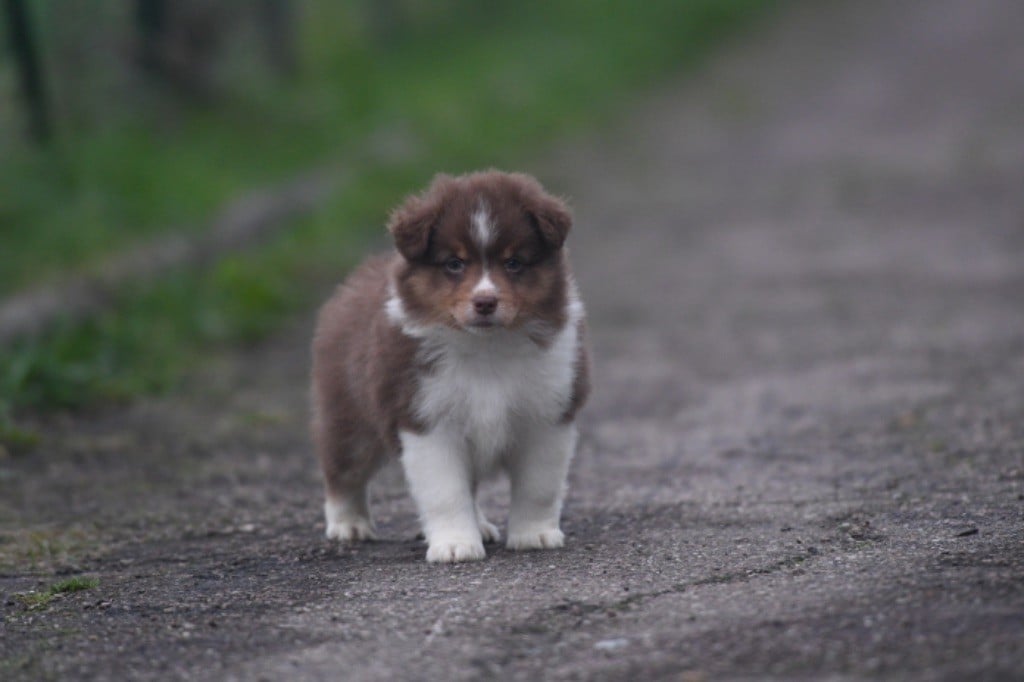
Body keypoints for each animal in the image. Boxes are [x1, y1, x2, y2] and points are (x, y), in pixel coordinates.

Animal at [307, 169, 589, 561]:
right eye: (454, 264)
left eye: (514, 263)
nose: (485, 302)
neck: (485, 347)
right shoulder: (424, 419)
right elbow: (445, 492)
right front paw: (455, 545)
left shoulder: (548, 416)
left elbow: (538, 486)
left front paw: (535, 534)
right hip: (349, 416)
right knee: (342, 471)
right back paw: (350, 525)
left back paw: (482, 525)